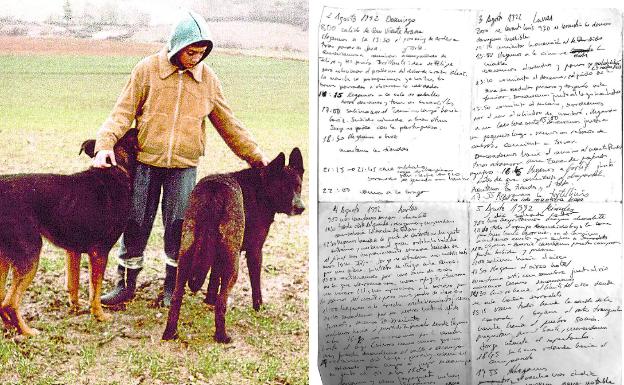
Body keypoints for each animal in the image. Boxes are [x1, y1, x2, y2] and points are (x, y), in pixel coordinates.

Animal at [0, 128, 138, 332]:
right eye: (128, 135)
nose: (136, 127)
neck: (115, 170)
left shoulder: (72, 251)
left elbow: (74, 283)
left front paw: (76, 307)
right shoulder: (100, 252)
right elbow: (95, 289)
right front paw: (99, 315)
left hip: (5, 258)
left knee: (2, 299)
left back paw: (11, 326)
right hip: (30, 254)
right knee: (10, 303)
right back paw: (27, 332)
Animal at [162, 148, 306, 342]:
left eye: (298, 186)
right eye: (283, 187)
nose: (300, 208)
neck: (260, 188)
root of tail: (215, 190)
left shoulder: (217, 256)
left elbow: (213, 279)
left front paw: (209, 300)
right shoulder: (255, 251)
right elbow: (256, 284)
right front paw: (259, 306)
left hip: (185, 254)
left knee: (177, 296)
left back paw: (170, 332)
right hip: (233, 264)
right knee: (222, 302)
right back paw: (222, 336)